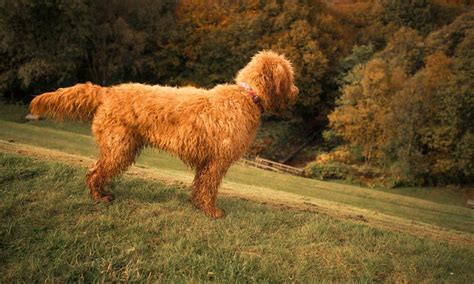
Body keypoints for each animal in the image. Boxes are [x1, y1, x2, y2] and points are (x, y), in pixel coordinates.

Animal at [29, 50, 298, 217]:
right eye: (290, 75)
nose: (296, 92)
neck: (247, 96)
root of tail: (108, 92)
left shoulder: (208, 163)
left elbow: (200, 185)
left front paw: (197, 205)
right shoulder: (217, 161)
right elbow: (209, 188)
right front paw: (211, 212)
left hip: (120, 146)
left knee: (96, 170)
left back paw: (104, 193)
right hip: (119, 147)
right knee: (95, 172)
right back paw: (99, 197)